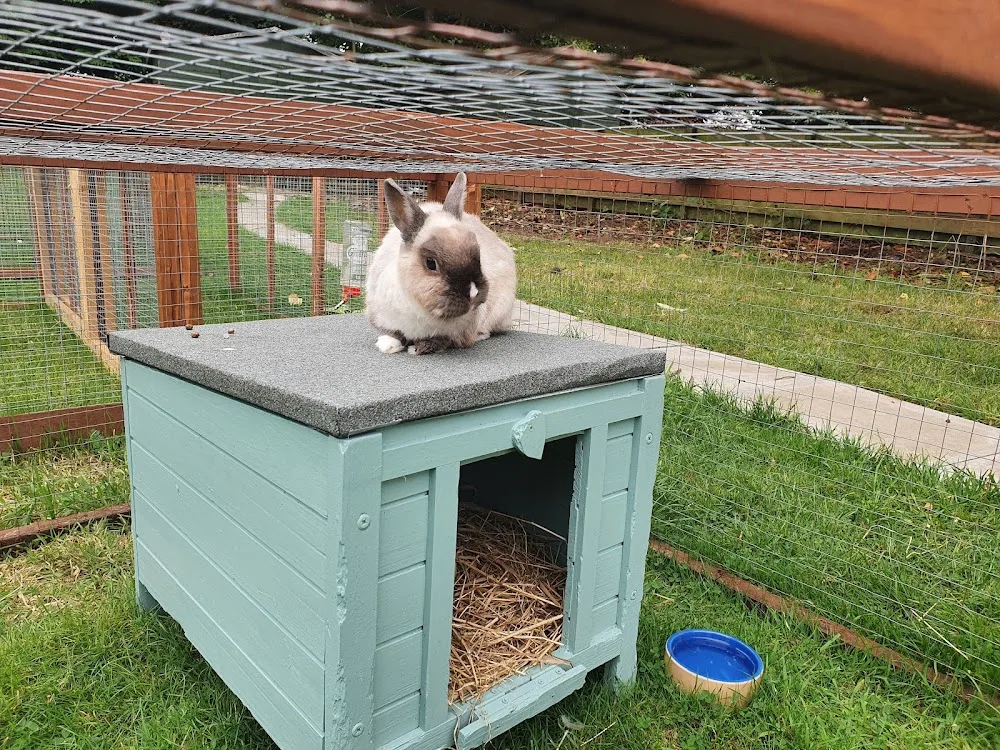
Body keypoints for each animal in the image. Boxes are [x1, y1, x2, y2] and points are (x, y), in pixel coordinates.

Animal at [365, 173, 516, 355]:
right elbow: (393, 332)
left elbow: (443, 340)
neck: (420, 308)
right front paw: (387, 345)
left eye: (478, 254)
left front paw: (419, 347)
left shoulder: (460, 331)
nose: (473, 293)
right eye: (431, 263)